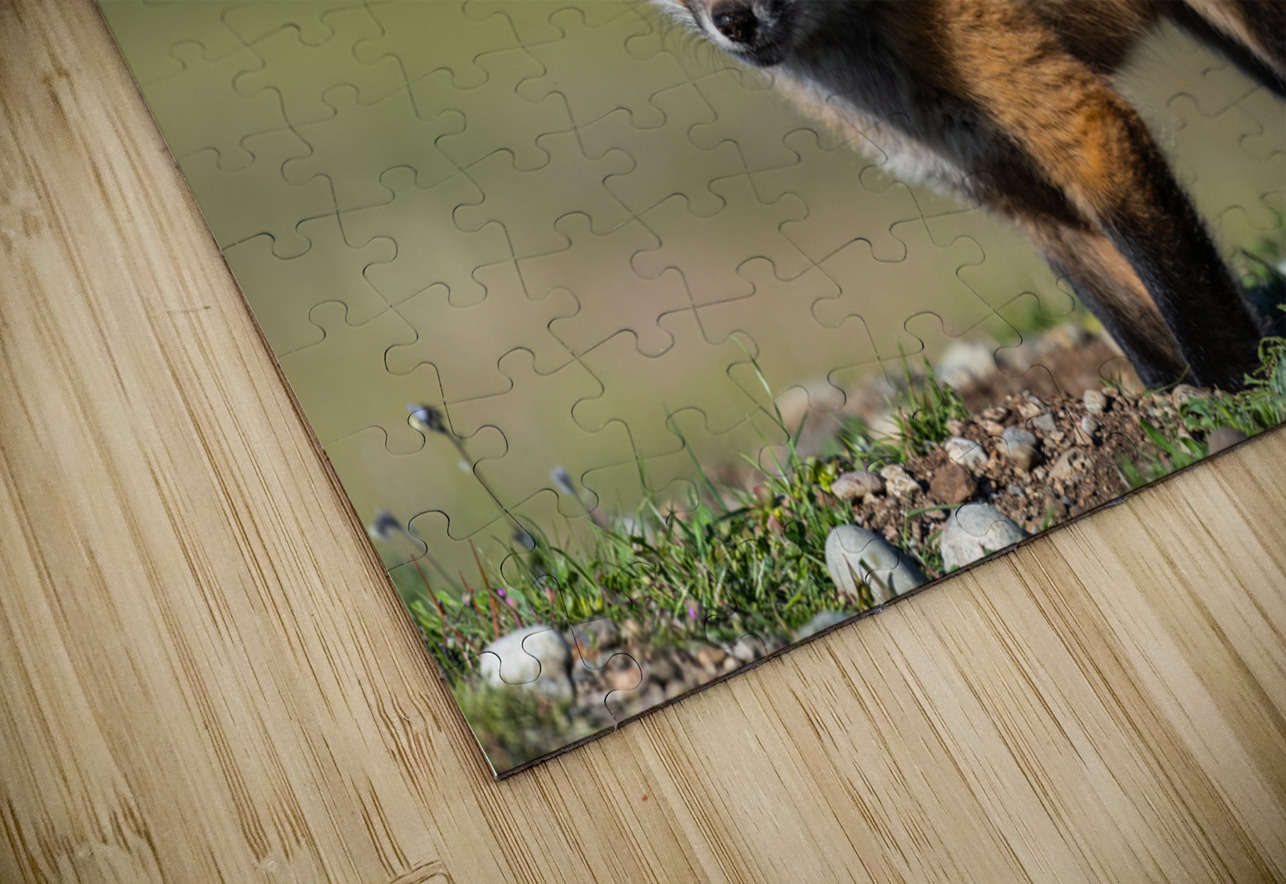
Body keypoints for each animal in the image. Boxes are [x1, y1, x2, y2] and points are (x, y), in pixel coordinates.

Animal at [653, 0, 1286, 390]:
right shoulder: (1013, 190)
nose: (734, 21)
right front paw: (1170, 402)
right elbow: (1130, 321)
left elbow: (1185, 296)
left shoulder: (1083, 127)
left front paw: (1234, 394)